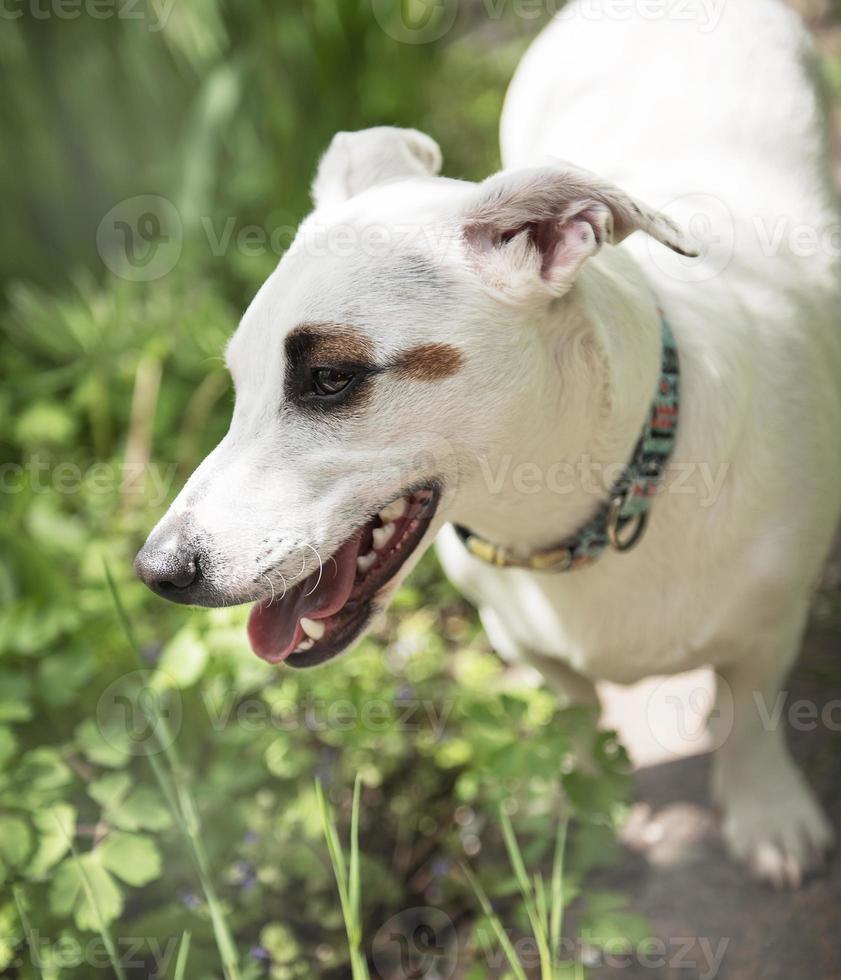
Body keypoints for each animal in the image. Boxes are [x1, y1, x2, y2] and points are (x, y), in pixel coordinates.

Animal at [138, 0, 840, 888]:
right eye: (237, 381)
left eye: (329, 378)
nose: (155, 572)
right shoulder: (522, 641)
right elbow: (575, 714)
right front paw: (577, 801)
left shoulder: (770, 625)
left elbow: (749, 715)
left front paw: (764, 810)